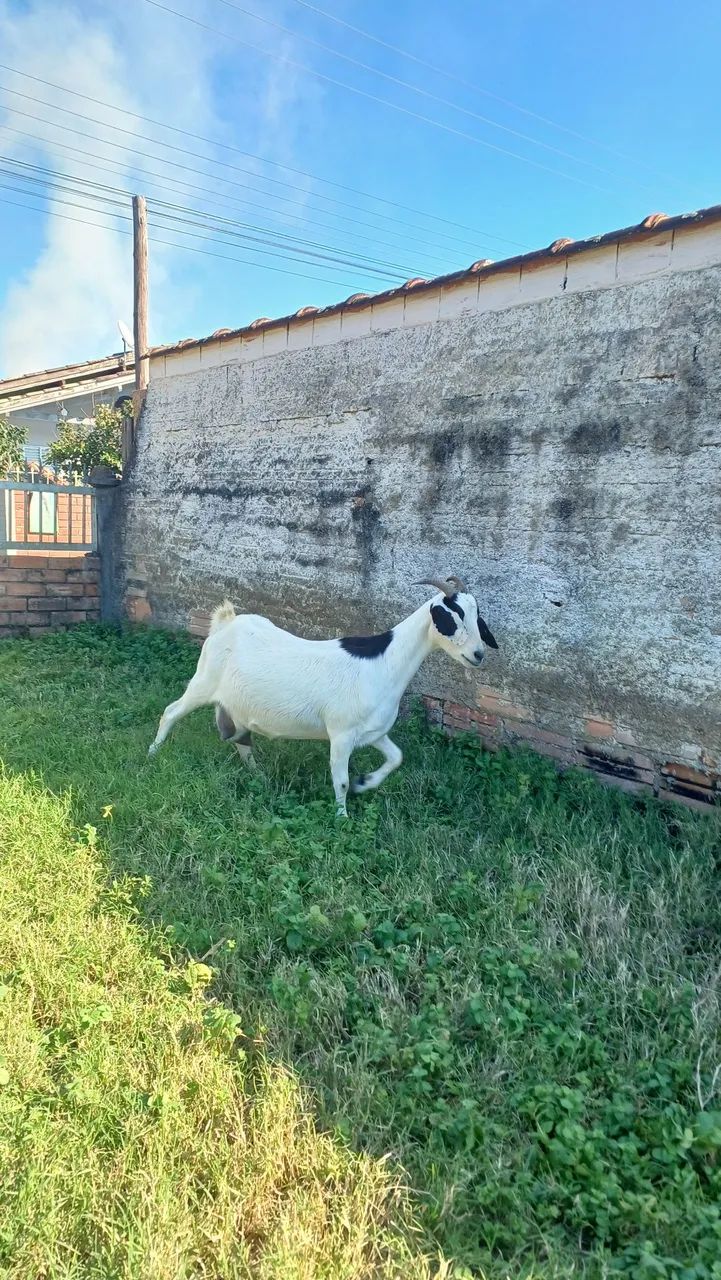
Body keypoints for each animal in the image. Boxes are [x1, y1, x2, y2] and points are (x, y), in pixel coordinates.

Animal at [148, 575, 498, 816]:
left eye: (477, 616)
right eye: (452, 617)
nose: (479, 654)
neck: (384, 661)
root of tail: (226, 622)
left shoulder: (373, 731)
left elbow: (396, 758)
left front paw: (364, 783)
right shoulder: (341, 733)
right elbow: (340, 780)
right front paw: (342, 818)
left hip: (237, 704)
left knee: (240, 739)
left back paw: (258, 777)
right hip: (204, 683)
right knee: (171, 711)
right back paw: (153, 754)